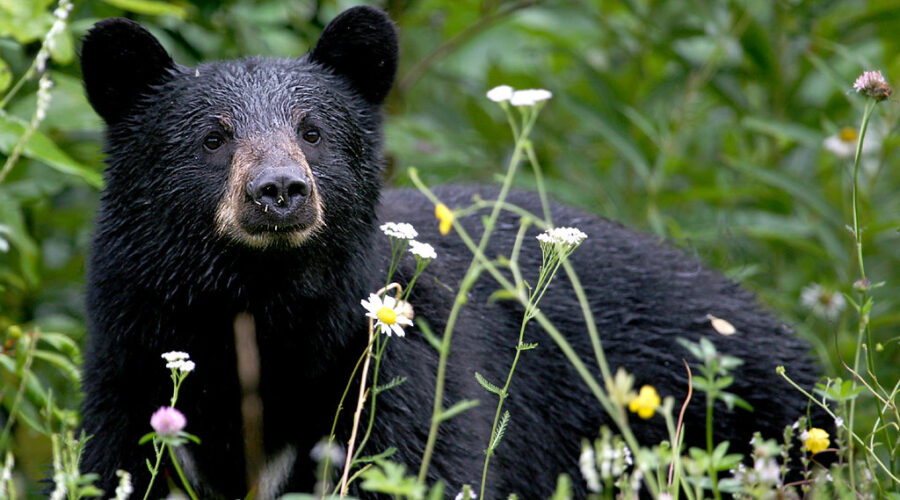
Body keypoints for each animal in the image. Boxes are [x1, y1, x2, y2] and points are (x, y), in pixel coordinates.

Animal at [78, 6, 822, 499]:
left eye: (313, 132)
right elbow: (117, 464)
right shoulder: (132, 354)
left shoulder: (396, 361)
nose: (280, 191)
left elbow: (420, 463)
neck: (262, 308)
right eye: (214, 137)